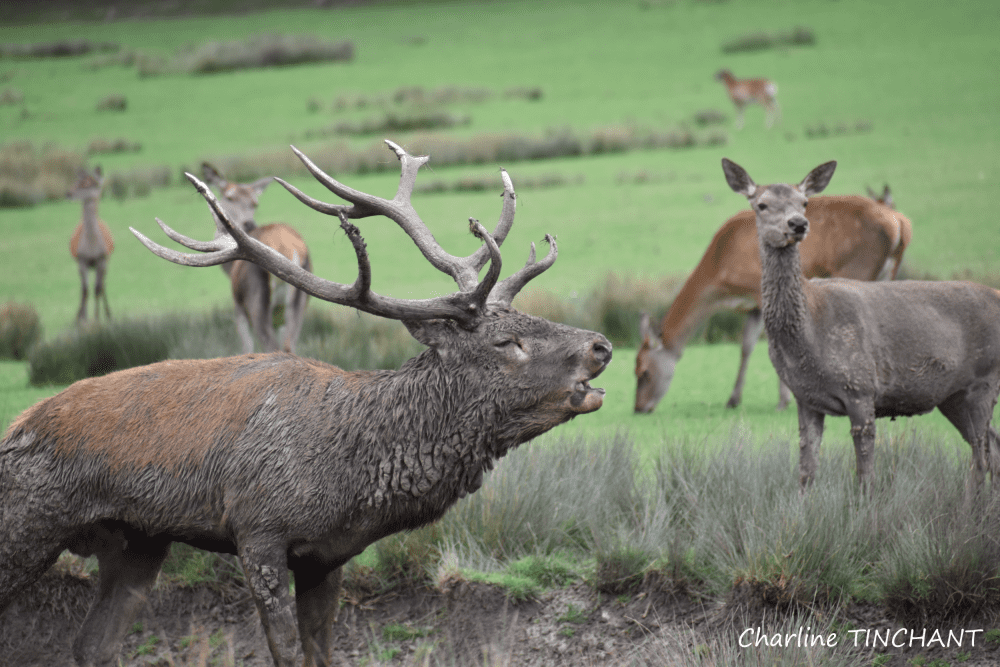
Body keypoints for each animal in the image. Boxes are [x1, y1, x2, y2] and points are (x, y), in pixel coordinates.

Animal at [67, 167, 114, 324]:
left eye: (87, 184)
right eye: (77, 181)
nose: (68, 193)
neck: (91, 247)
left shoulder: (102, 258)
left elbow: (97, 289)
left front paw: (97, 318)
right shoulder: (82, 259)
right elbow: (85, 290)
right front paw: (83, 319)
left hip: (106, 262)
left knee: (103, 285)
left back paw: (108, 314)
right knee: (85, 287)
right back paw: (80, 316)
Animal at [201, 162, 310, 354]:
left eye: (254, 203)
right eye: (230, 197)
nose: (248, 223)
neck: (230, 269)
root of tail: (287, 249)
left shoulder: (238, 308)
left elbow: (247, 348)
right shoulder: (279, 317)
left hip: (255, 299)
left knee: (271, 345)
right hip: (298, 302)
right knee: (289, 345)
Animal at [636, 188, 912, 414]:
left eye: (643, 372)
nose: (638, 408)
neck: (722, 276)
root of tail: (900, 223)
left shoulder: (760, 290)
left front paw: (783, 401)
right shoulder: (752, 305)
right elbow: (746, 346)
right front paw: (733, 399)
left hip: (857, 267)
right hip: (887, 273)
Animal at [720, 157, 1000, 490]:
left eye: (804, 202)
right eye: (761, 204)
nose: (798, 224)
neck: (807, 338)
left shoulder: (861, 387)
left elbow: (865, 476)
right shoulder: (805, 398)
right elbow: (806, 472)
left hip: (985, 379)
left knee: (981, 457)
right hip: (953, 395)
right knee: (992, 447)